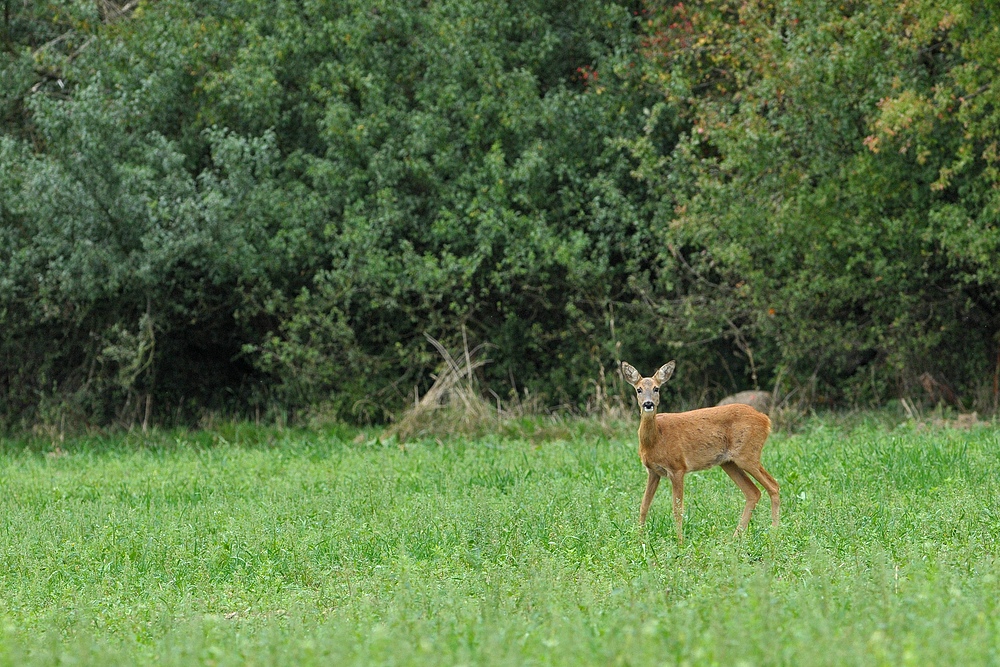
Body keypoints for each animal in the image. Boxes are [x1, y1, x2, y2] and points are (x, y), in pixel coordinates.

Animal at [620, 360, 776, 544]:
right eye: (639, 389)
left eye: (656, 388)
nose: (648, 404)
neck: (656, 438)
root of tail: (766, 420)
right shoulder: (653, 471)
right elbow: (644, 505)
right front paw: (638, 540)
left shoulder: (677, 467)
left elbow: (677, 509)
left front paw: (680, 542)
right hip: (728, 462)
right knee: (753, 492)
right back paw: (736, 536)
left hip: (748, 454)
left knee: (773, 486)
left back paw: (775, 532)